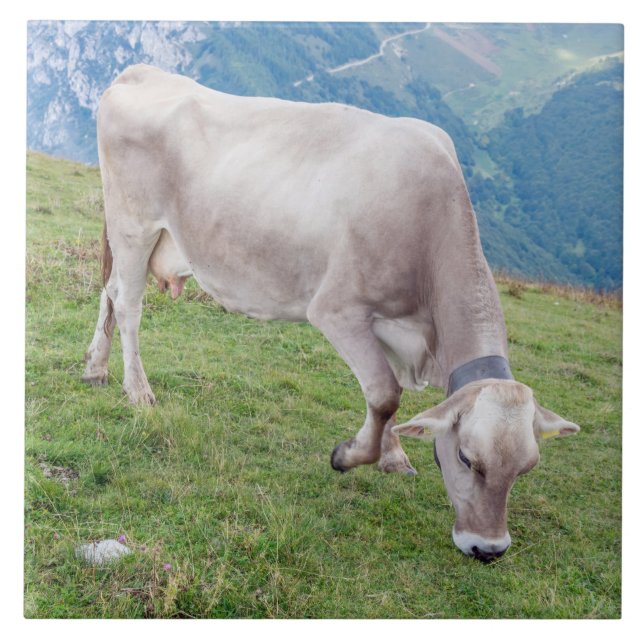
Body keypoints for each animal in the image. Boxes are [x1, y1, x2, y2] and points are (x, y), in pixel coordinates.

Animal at [82, 64, 579, 561]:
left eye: (526, 468)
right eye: (466, 458)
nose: (488, 548)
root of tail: (143, 72)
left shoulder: (390, 325)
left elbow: (393, 393)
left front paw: (393, 454)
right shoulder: (337, 310)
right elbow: (385, 393)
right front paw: (349, 456)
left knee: (109, 291)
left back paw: (96, 368)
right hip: (134, 225)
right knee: (128, 305)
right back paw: (138, 391)